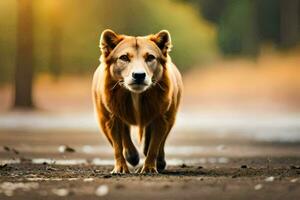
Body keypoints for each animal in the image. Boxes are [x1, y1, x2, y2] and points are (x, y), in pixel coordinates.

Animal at [92, 29, 183, 173]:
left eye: (150, 57)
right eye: (124, 57)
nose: (139, 75)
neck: (136, 95)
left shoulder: (162, 118)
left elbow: (154, 146)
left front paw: (149, 168)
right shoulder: (110, 119)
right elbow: (117, 146)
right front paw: (120, 168)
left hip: (170, 117)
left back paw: (159, 161)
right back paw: (132, 156)